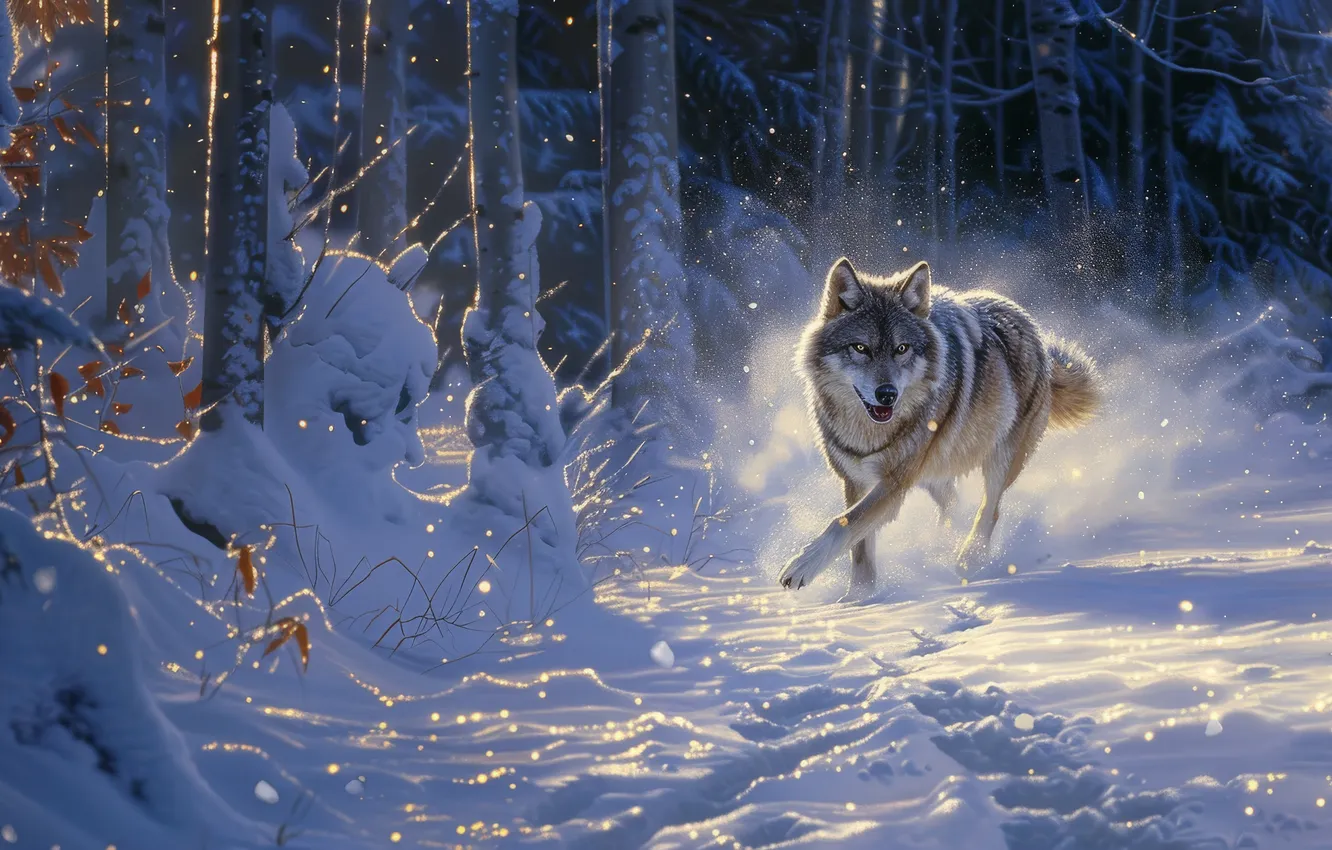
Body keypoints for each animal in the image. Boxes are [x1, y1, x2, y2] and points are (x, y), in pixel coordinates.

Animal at [778, 257, 1102, 592]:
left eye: (902, 348)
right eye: (860, 348)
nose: (887, 394)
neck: (869, 434)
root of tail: (1030, 325)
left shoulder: (895, 484)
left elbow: (843, 524)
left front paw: (801, 567)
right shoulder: (855, 480)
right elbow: (859, 548)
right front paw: (858, 597)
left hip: (1000, 459)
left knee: (990, 509)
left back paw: (968, 559)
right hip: (934, 472)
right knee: (954, 503)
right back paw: (941, 545)